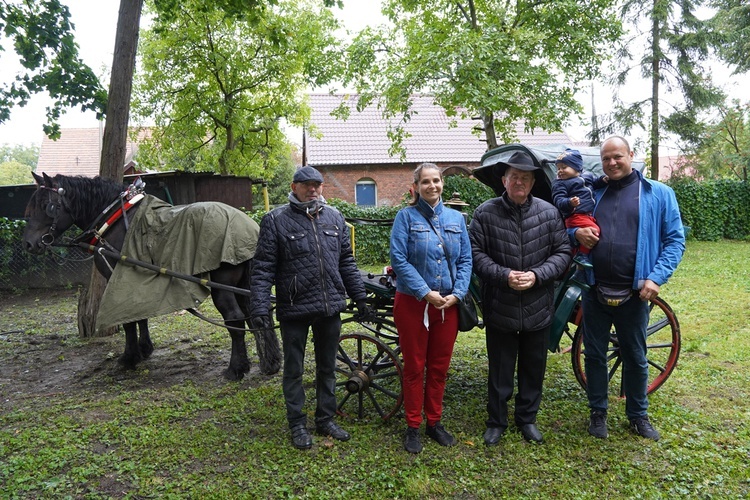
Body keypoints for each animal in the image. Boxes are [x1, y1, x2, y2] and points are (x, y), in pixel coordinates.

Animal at [24, 172, 282, 378]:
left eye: (47, 206)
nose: (28, 243)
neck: (114, 218)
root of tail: (248, 226)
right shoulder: (136, 280)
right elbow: (140, 315)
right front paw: (144, 349)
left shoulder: (118, 276)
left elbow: (129, 321)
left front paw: (129, 358)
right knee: (256, 316)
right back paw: (269, 363)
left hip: (223, 286)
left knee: (235, 319)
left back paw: (236, 369)